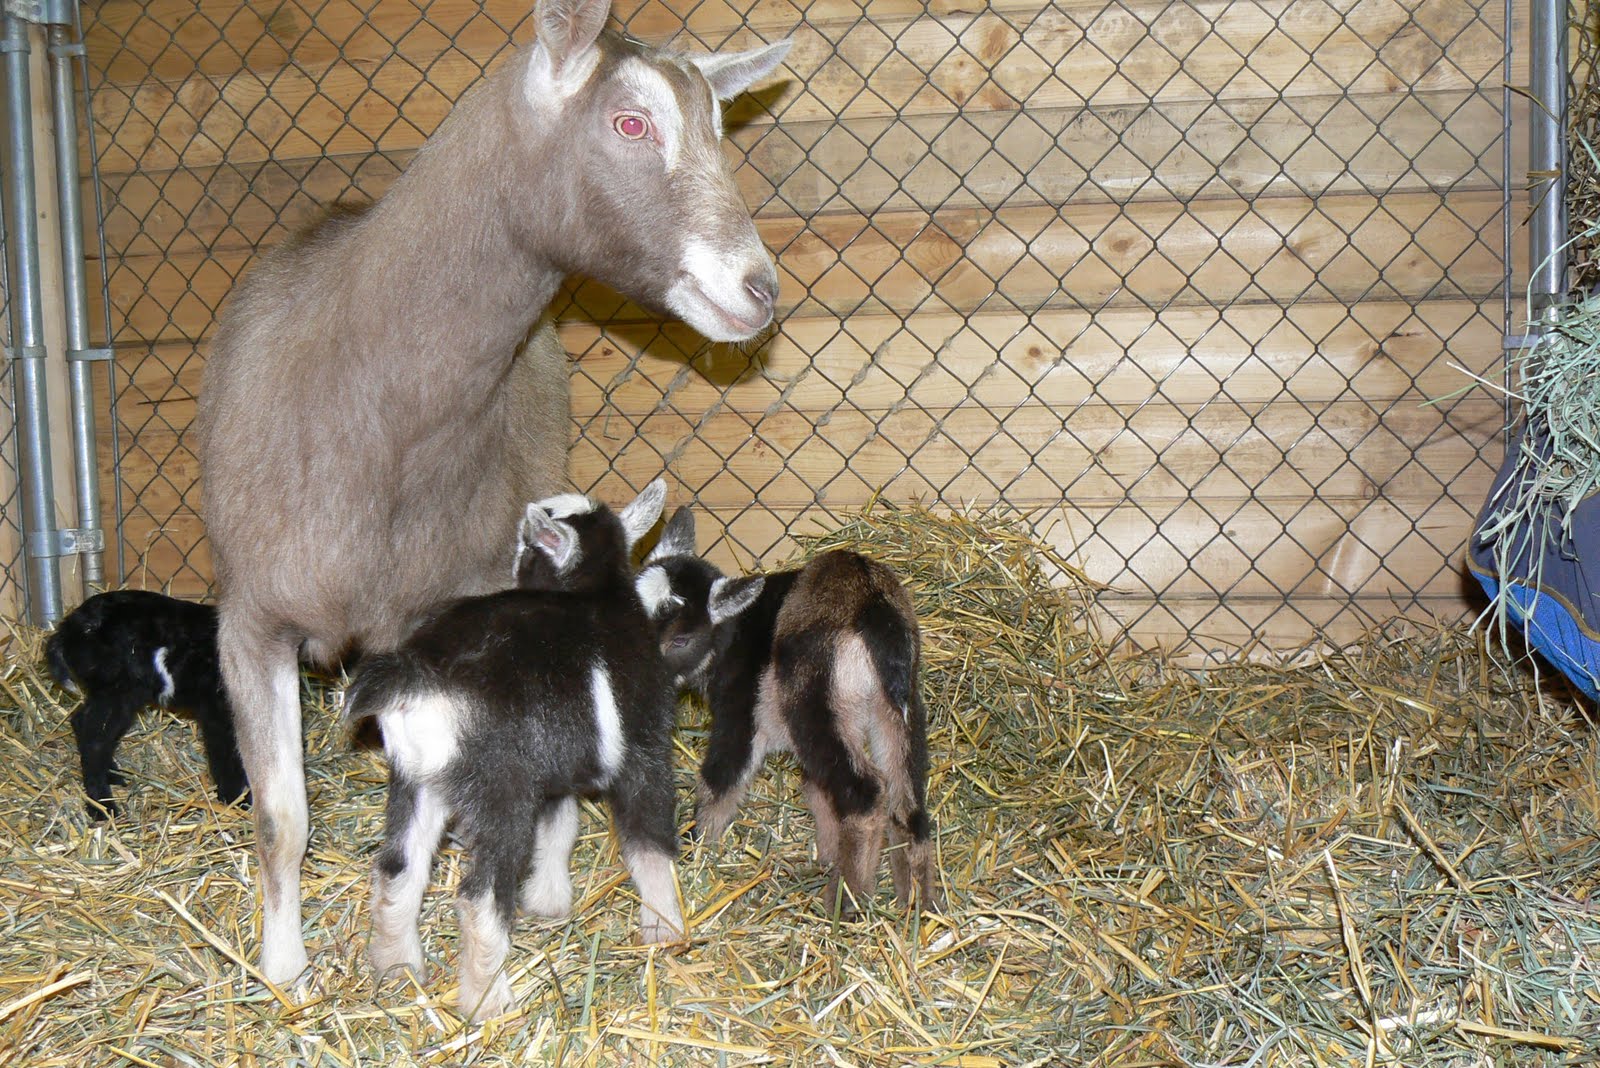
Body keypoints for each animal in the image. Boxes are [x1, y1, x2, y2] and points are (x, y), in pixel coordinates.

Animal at [44, 590, 249, 818]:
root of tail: (69, 626)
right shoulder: (217, 711)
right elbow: (227, 756)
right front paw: (237, 802)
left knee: (86, 725)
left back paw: (113, 776)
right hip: (114, 688)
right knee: (94, 736)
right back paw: (102, 807)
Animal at [344, 479, 681, 1021]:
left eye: (524, 546)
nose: (513, 559)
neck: (599, 594)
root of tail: (415, 677)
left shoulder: (556, 764)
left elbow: (560, 826)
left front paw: (548, 901)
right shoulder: (642, 750)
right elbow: (649, 841)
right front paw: (665, 928)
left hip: (416, 778)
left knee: (398, 867)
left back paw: (397, 966)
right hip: (499, 791)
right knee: (478, 896)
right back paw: (490, 1002)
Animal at [638, 507, 940, 915]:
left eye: (681, 639)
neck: (733, 634)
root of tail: (871, 607)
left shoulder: (741, 710)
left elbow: (721, 778)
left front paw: (699, 854)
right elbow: (815, 790)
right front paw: (826, 856)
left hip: (813, 701)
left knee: (865, 794)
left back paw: (844, 905)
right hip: (898, 705)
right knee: (907, 798)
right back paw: (918, 906)